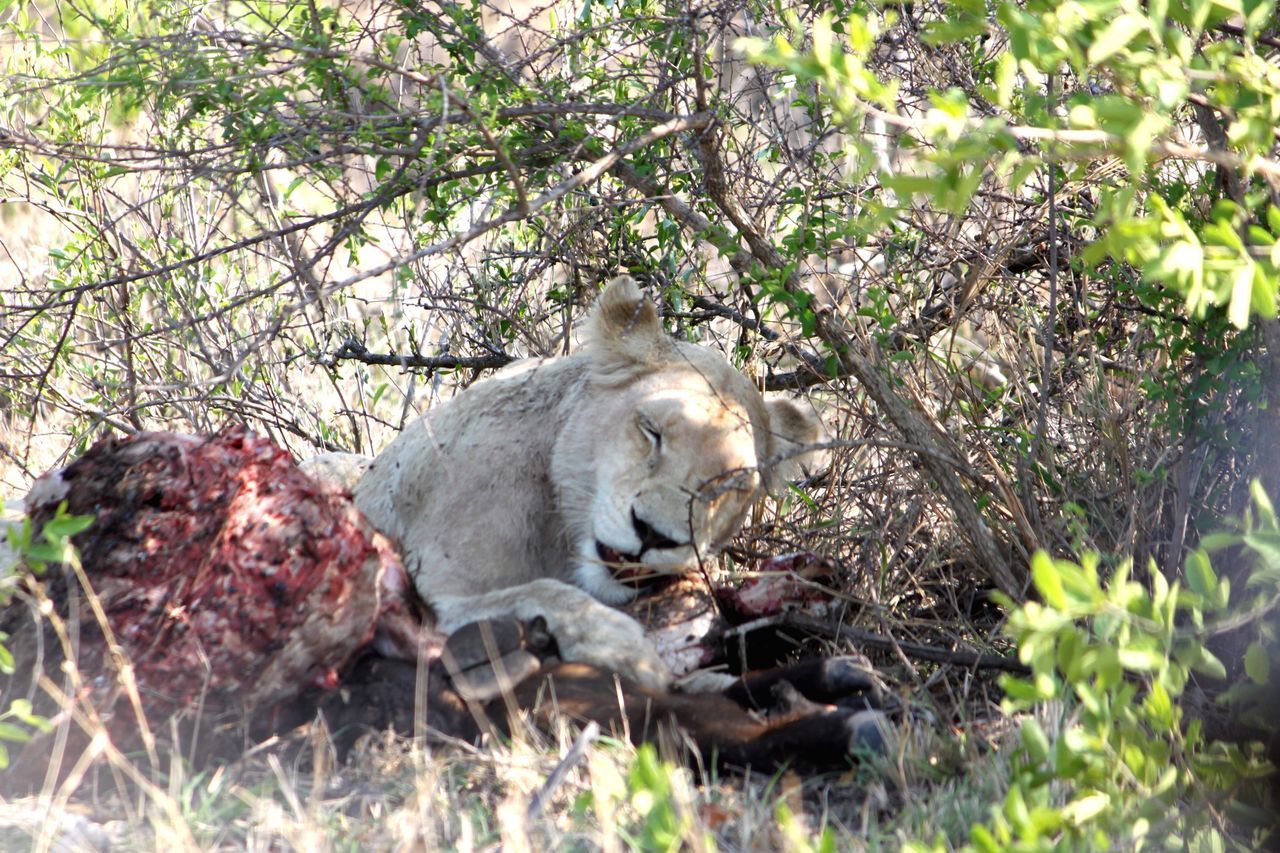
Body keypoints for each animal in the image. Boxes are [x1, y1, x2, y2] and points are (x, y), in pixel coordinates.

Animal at [314, 275, 824, 686]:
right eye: (651, 431)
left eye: (730, 485)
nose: (653, 535)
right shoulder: (441, 592)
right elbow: (545, 592)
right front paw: (626, 650)